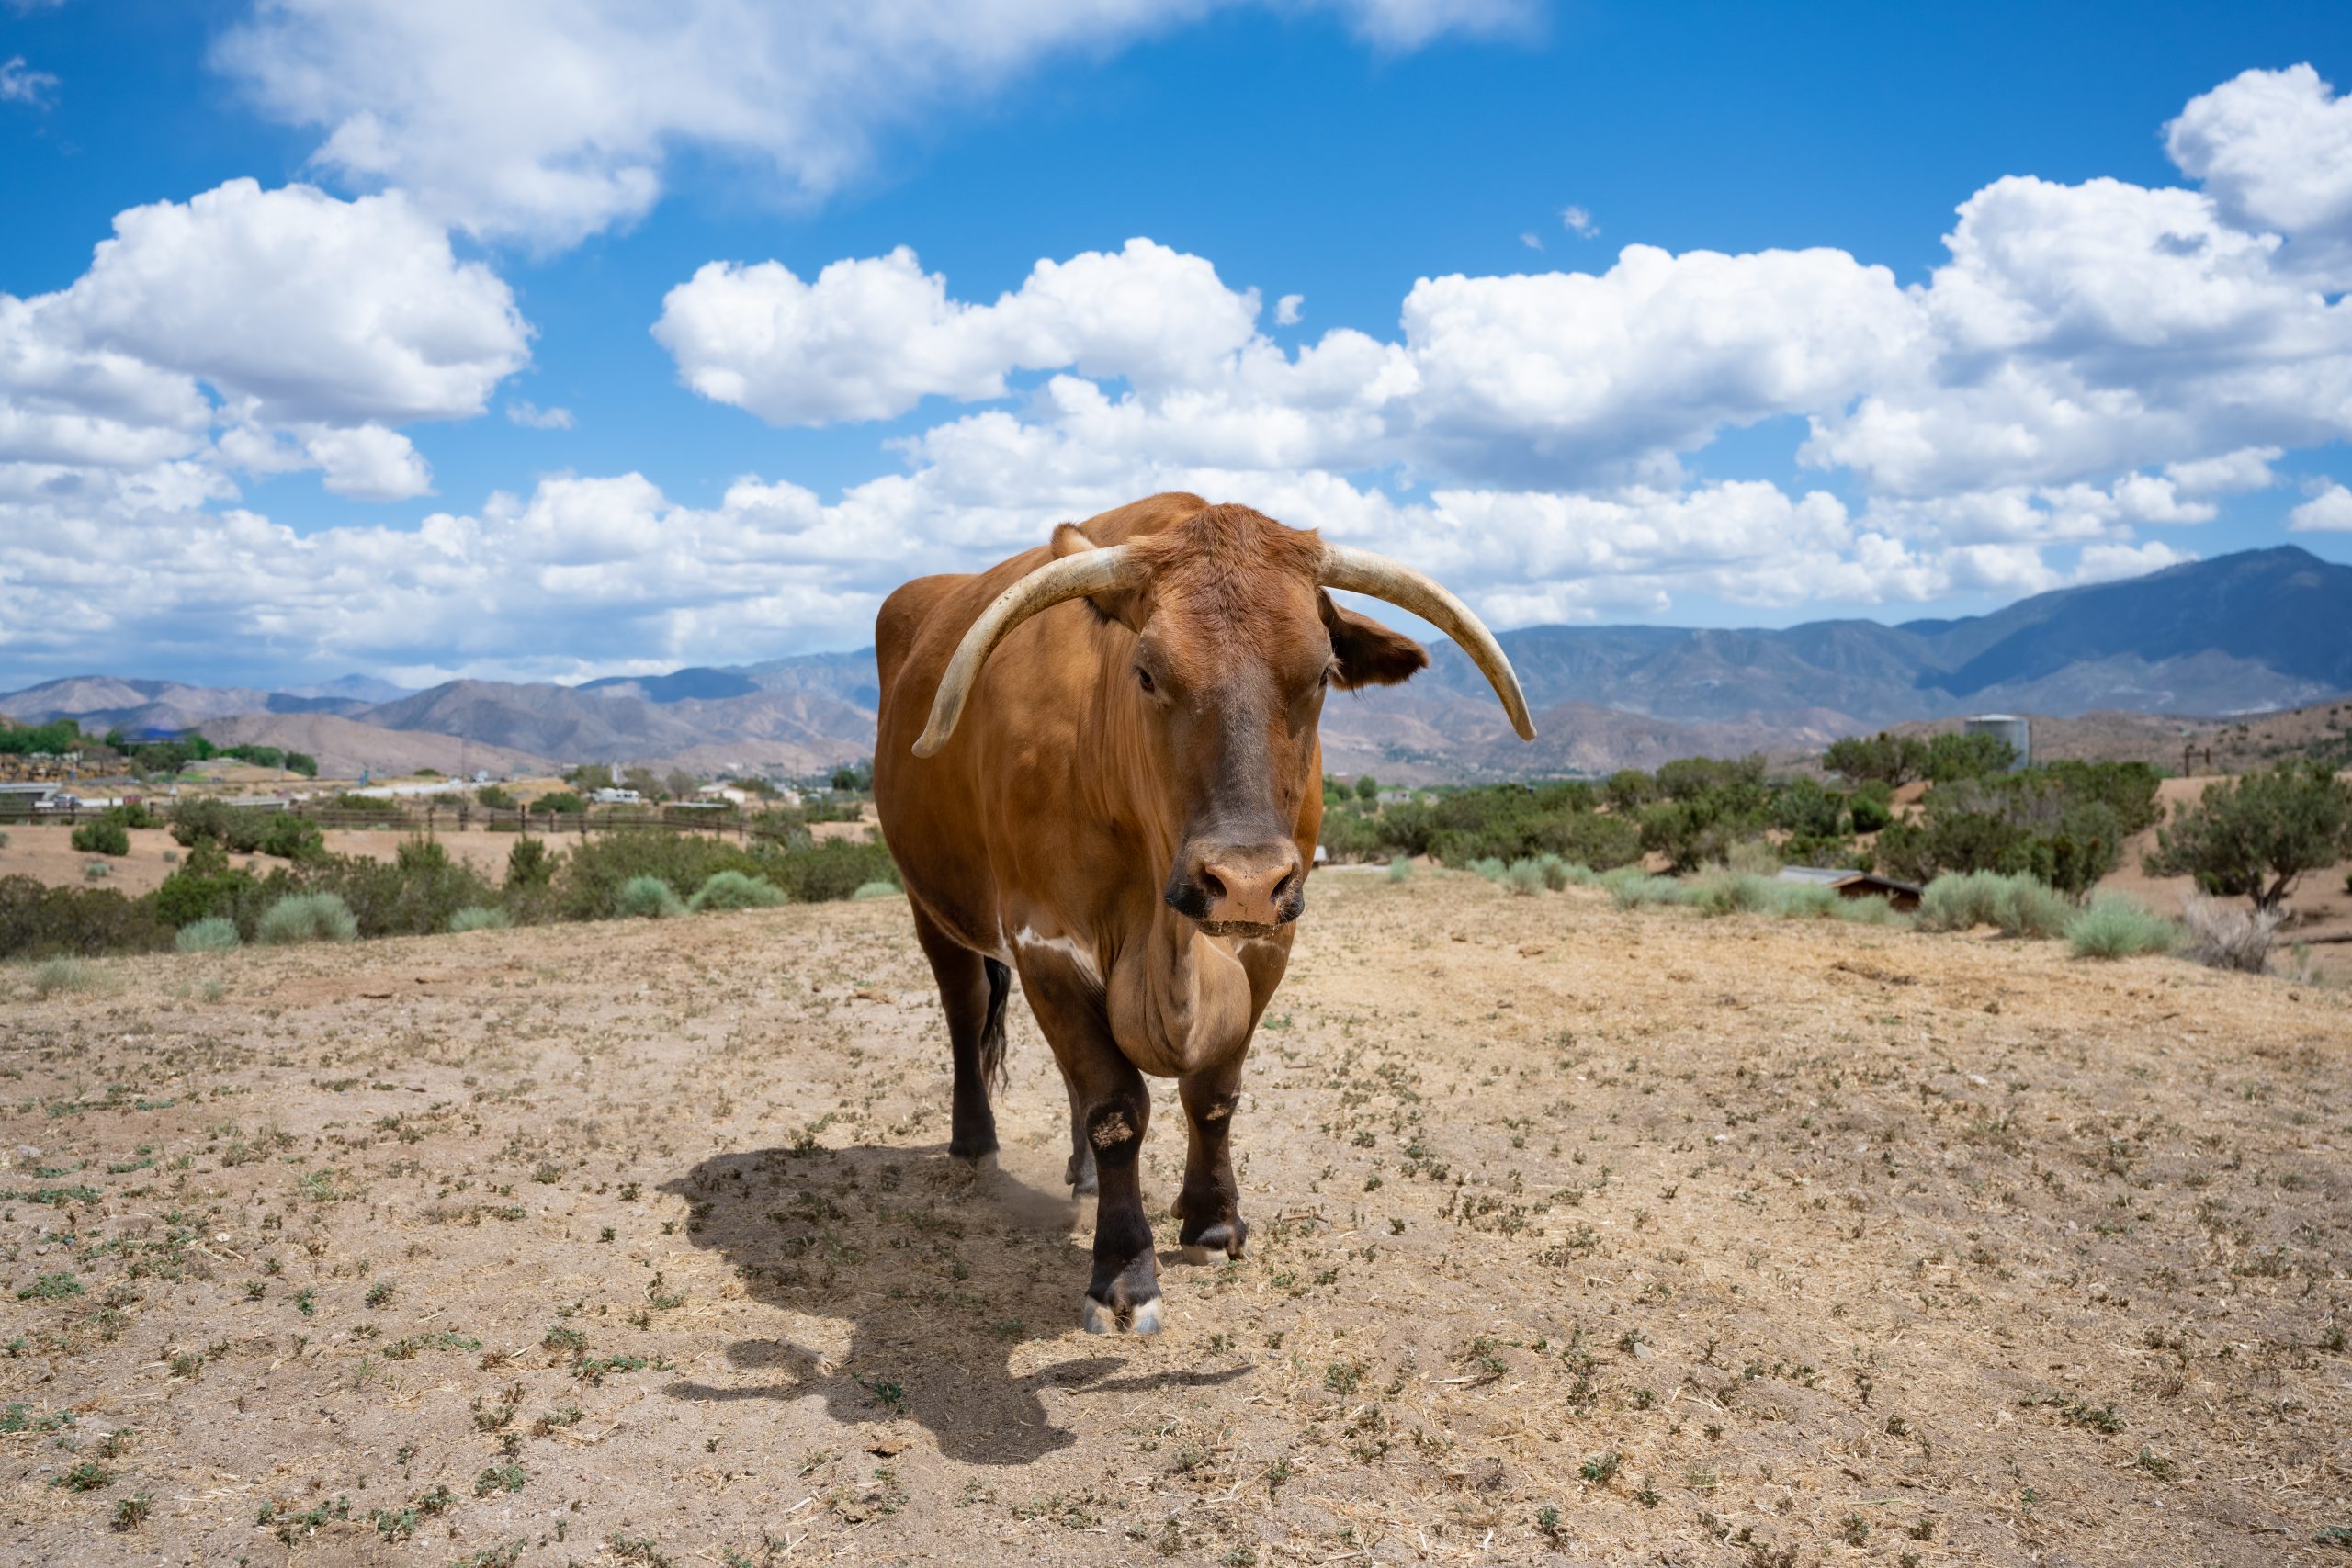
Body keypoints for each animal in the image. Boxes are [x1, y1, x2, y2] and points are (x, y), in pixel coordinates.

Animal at [875, 493, 1533, 1335]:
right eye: (1147, 671)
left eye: (1322, 672)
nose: (1244, 881)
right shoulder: (1042, 939)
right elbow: (1117, 1106)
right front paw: (1123, 1274)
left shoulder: (1270, 941)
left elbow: (1211, 1092)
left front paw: (1213, 1220)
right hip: (930, 901)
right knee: (964, 1009)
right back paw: (974, 1144)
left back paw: (1083, 1176)